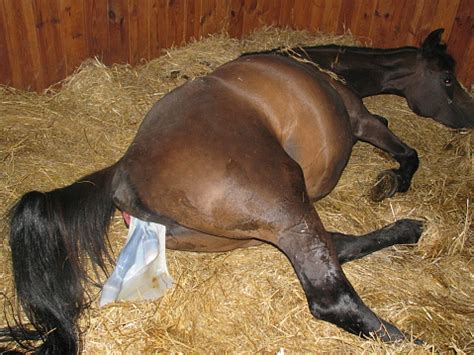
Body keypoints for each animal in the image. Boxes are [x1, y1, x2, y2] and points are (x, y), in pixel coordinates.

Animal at [1, 54, 422, 354]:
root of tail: (125, 168)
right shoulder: (363, 121)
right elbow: (408, 152)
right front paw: (393, 180)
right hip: (286, 204)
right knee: (328, 294)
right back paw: (411, 337)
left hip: (245, 234)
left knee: (340, 248)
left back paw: (409, 229)